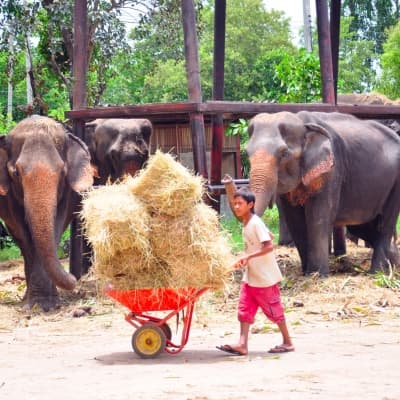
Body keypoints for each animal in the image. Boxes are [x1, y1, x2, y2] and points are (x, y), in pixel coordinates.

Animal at [0, 115, 93, 310]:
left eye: (63, 172)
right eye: (16, 173)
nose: (74, 278)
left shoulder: (67, 193)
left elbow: (57, 227)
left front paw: (49, 305)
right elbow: (24, 233)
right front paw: (39, 305)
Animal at [245, 111, 398, 276]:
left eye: (284, 153)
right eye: (247, 152)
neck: (302, 122)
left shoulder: (332, 170)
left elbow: (317, 218)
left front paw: (318, 275)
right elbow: (295, 220)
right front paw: (307, 273)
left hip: (396, 182)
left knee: (385, 224)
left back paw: (377, 272)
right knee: (361, 225)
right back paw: (394, 262)